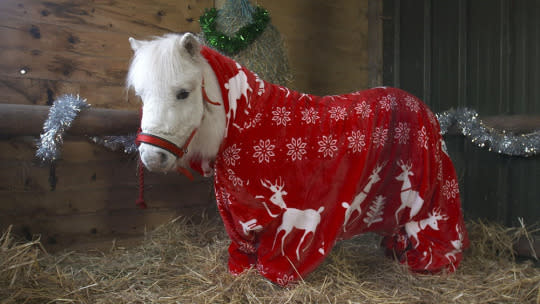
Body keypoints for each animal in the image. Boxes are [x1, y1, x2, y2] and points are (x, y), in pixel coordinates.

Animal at [127, 33, 468, 288]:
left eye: (183, 93)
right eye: (142, 95)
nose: (152, 157)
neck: (246, 124)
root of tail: (425, 110)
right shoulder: (237, 213)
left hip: (430, 207)